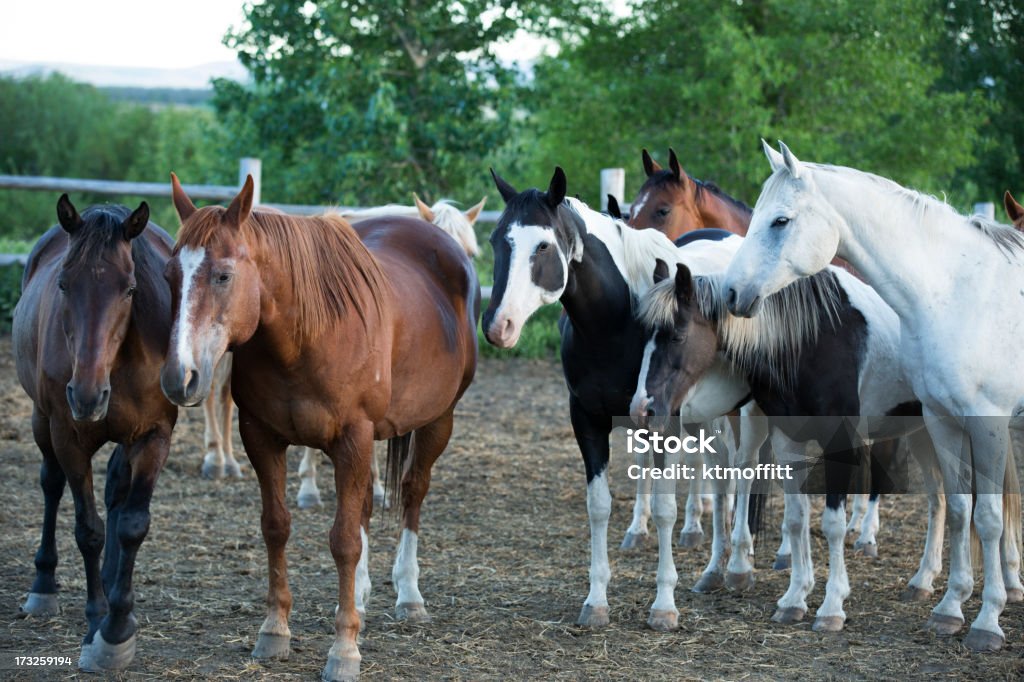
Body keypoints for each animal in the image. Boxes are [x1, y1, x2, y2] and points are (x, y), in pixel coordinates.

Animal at [12, 193, 177, 667]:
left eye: (130, 289)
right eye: (65, 284)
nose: (87, 395)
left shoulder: (154, 434)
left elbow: (132, 524)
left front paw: (118, 626)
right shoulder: (68, 437)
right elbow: (89, 529)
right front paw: (97, 623)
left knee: (116, 490)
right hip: (41, 420)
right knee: (51, 484)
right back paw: (43, 585)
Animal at [160, 173, 479, 675]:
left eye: (224, 275)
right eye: (169, 277)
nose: (180, 376)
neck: (303, 335)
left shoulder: (353, 439)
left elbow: (344, 540)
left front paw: (344, 649)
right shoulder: (260, 437)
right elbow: (276, 526)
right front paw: (274, 630)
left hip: (436, 421)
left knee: (413, 493)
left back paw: (408, 595)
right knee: (367, 505)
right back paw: (362, 596)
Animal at [479, 165, 753, 626]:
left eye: (543, 245)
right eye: (498, 240)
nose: (499, 325)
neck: (620, 321)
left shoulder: (665, 425)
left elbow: (665, 508)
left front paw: (664, 605)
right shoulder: (588, 421)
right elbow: (599, 505)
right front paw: (596, 600)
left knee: (742, 471)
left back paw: (738, 565)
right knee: (719, 474)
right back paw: (715, 569)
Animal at [634, 251, 954, 630]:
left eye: (677, 336)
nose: (642, 408)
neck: (810, 340)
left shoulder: (839, 442)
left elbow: (832, 524)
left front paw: (831, 606)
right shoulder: (788, 442)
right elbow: (796, 517)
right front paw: (794, 598)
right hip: (920, 432)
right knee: (938, 501)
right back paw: (923, 580)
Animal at [724, 139, 1019, 647]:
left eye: (780, 220)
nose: (731, 292)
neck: (958, 294)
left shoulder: (988, 424)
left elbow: (988, 517)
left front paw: (986, 622)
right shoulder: (942, 420)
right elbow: (961, 510)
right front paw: (950, 609)